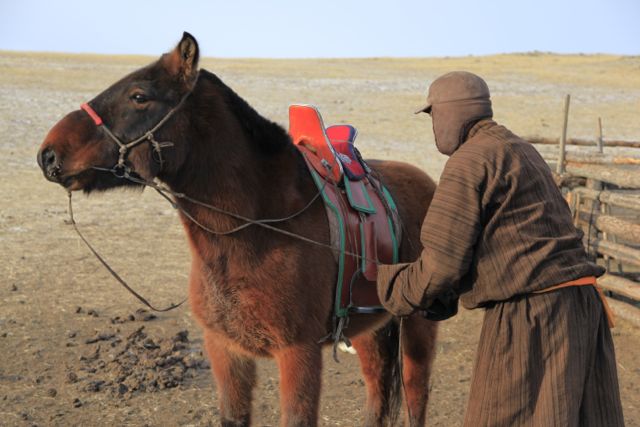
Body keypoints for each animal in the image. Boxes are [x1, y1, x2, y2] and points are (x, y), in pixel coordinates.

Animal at [37, 32, 438, 427]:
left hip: (418, 326)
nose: (48, 154)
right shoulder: (225, 349)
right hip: (371, 327)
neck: (254, 231)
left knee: (416, 394)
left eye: (139, 96)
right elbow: (233, 414)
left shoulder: (299, 352)